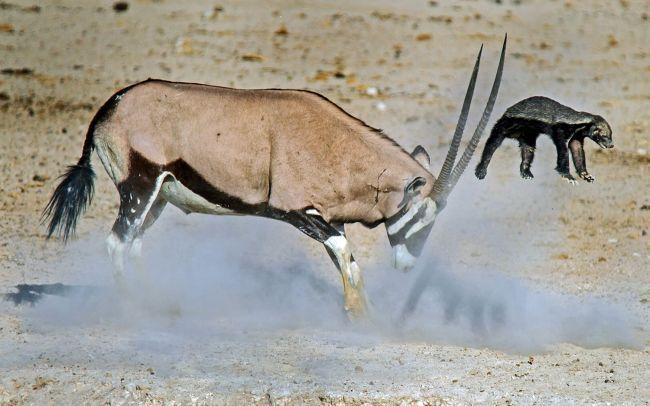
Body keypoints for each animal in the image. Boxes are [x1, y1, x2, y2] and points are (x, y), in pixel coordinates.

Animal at [43, 38, 504, 318]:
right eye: (422, 220)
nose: (408, 266)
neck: (334, 146)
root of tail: (109, 109)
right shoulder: (298, 212)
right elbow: (346, 255)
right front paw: (361, 317)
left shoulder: (328, 218)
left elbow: (346, 261)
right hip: (138, 188)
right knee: (117, 243)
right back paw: (135, 309)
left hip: (157, 198)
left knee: (134, 244)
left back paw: (161, 303)